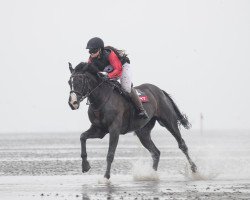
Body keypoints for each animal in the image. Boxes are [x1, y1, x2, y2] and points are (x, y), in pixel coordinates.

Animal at [68, 61, 197, 179]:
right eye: (69, 82)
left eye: (80, 81)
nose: (72, 103)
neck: (102, 99)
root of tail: (160, 90)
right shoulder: (99, 130)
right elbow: (82, 137)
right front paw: (85, 166)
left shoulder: (114, 129)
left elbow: (110, 154)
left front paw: (106, 177)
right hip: (143, 132)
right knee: (156, 152)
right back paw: (152, 174)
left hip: (169, 121)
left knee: (182, 145)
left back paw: (194, 169)